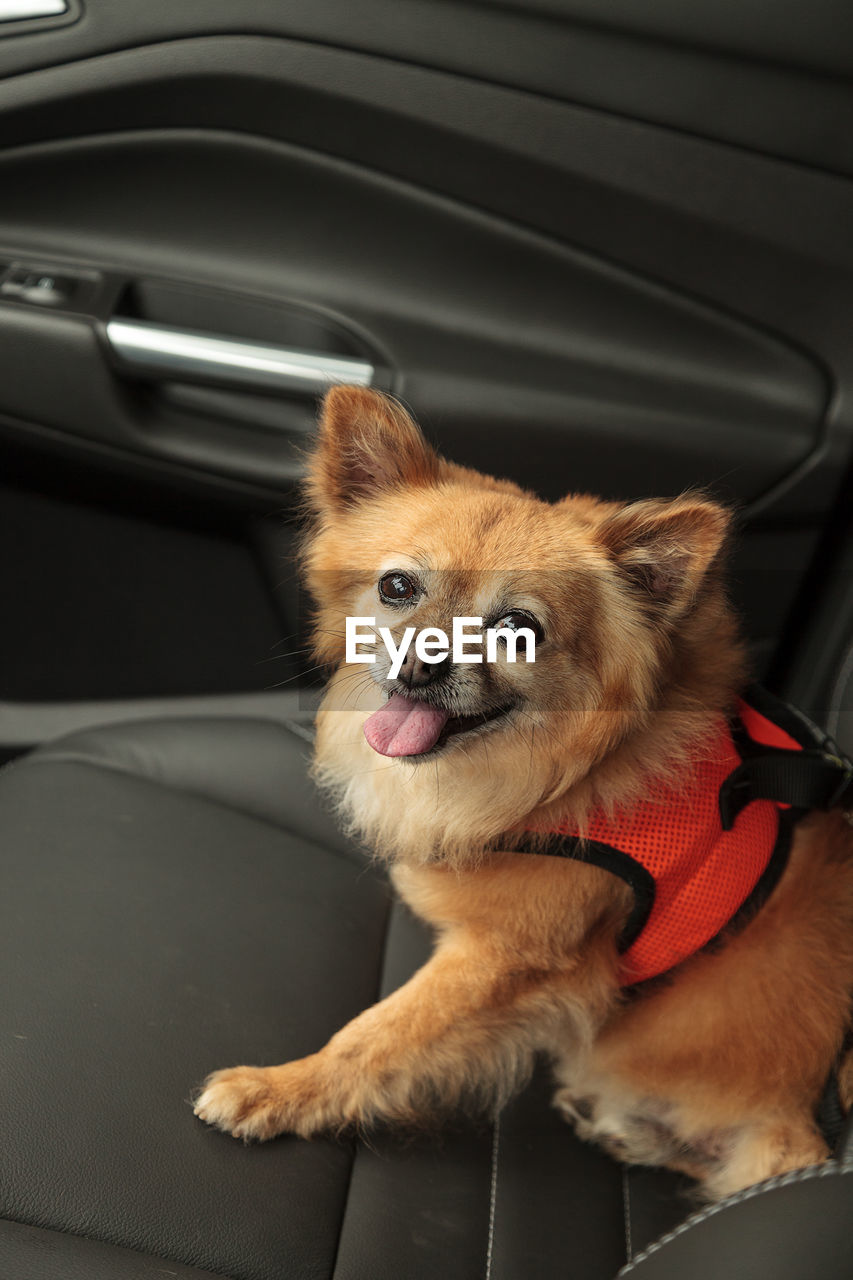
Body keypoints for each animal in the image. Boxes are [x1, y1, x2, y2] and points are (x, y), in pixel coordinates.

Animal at [192, 384, 850, 1203]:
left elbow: (377, 1035)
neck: (558, 768)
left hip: (782, 1150)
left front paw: (280, 1090)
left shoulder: (501, 959)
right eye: (397, 587)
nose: (417, 668)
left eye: (517, 627)